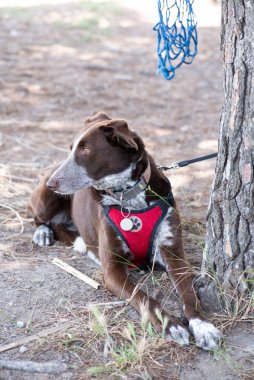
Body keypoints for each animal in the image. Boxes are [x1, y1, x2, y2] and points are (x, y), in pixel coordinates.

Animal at [28, 112, 222, 350]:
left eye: (85, 149)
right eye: (71, 148)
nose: (52, 182)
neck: (129, 196)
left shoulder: (173, 253)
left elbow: (188, 293)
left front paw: (203, 326)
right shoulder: (112, 271)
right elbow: (144, 297)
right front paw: (170, 325)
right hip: (47, 200)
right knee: (38, 217)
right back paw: (44, 234)